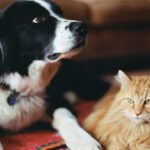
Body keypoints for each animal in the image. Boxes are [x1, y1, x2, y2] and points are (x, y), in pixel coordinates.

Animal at [0, 0, 101, 150]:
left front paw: (84, 141)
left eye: (60, 13)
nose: (83, 27)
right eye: (37, 19)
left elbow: (65, 116)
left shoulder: (56, 99)